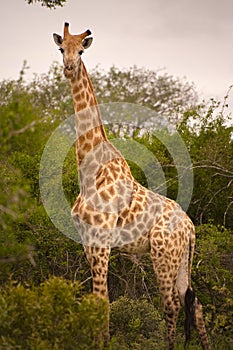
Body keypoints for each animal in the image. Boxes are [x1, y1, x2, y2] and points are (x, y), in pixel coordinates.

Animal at [53, 22, 211, 350]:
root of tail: (190, 227)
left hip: (163, 254)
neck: (89, 168)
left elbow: (102, 300)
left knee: (171, 305)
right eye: (62, 48)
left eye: (82, 50)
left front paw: (103, 343)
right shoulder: (86, 240)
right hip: (181, 259)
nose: (69, 68)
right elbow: (97, 300)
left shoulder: (101, 241)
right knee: (194, 303)